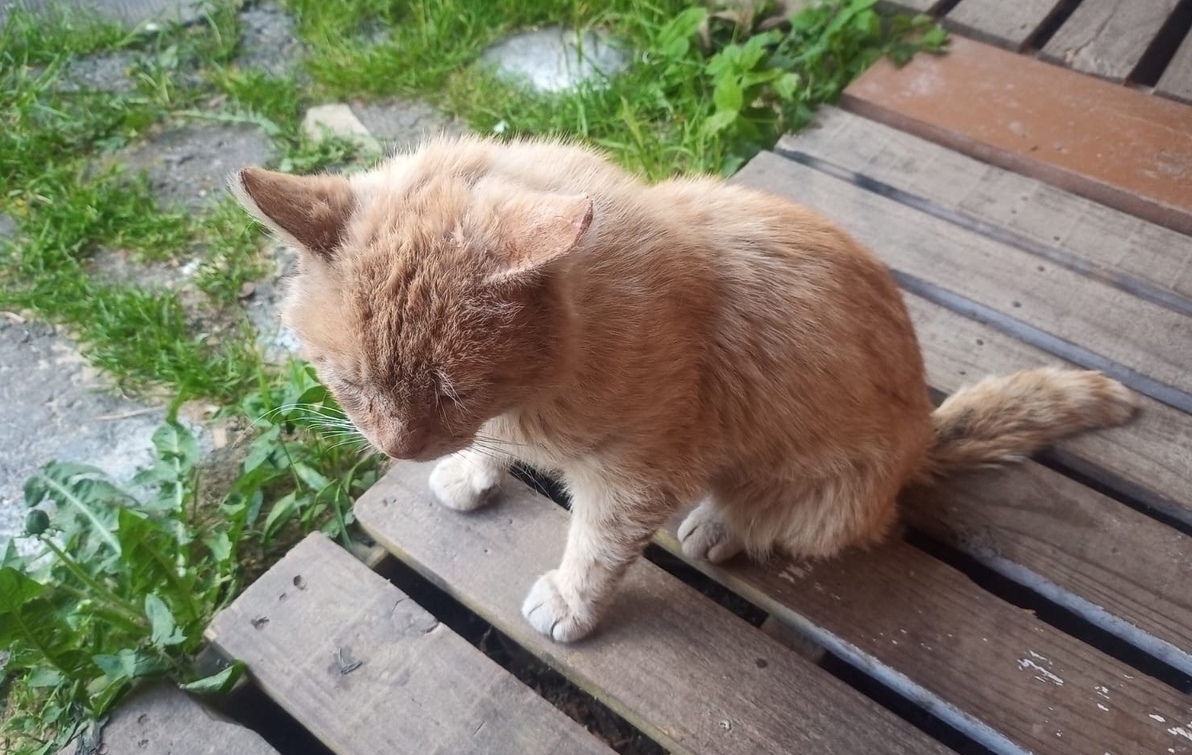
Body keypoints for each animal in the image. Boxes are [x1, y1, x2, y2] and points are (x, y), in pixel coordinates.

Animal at [232, 135, 1134, 644]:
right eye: (350, 384)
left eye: (453, 389)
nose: (398, 446)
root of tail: (922, 440)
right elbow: (496, 452)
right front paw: (472, 470)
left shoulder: (635, 478)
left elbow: (596, 549)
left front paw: (571, 601)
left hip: (823, 500)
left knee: (783, 521)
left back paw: (720, 524)